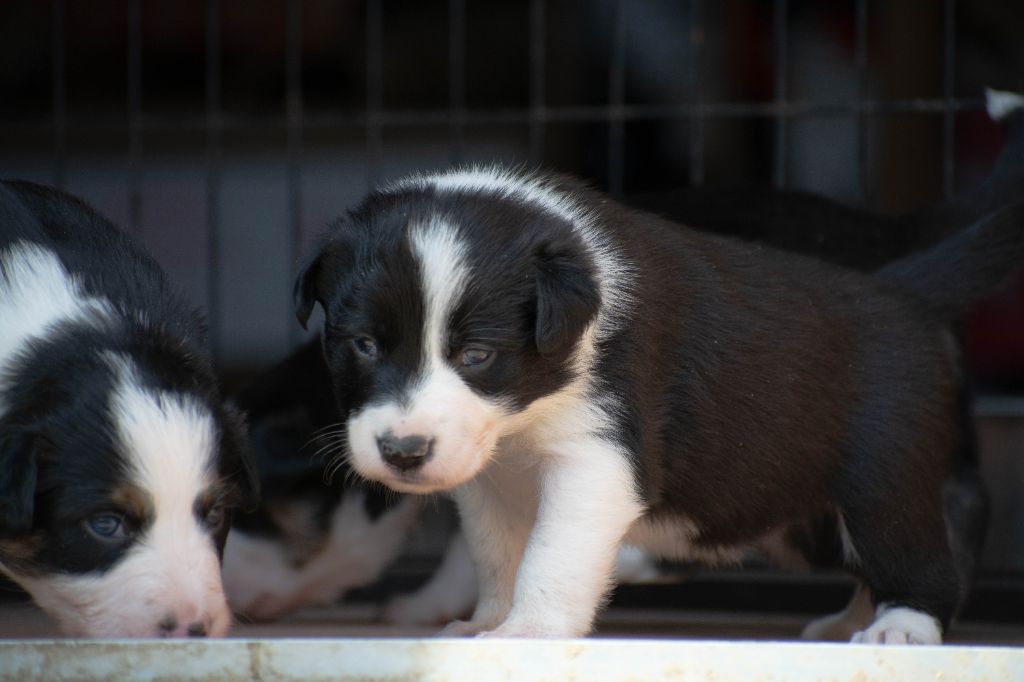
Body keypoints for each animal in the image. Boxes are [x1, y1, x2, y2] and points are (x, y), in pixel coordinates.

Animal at [293, 159, 1023, 644]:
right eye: (362, 345)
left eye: (477, 356)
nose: (403, 451)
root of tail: (901, 292)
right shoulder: (491, 478)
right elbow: (498, 554)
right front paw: (485, 623)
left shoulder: (598, 460)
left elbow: (550, 555)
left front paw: (528, 634)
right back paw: (850, 618)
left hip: (881, 479)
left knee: (917, 555)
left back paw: (903, 628)